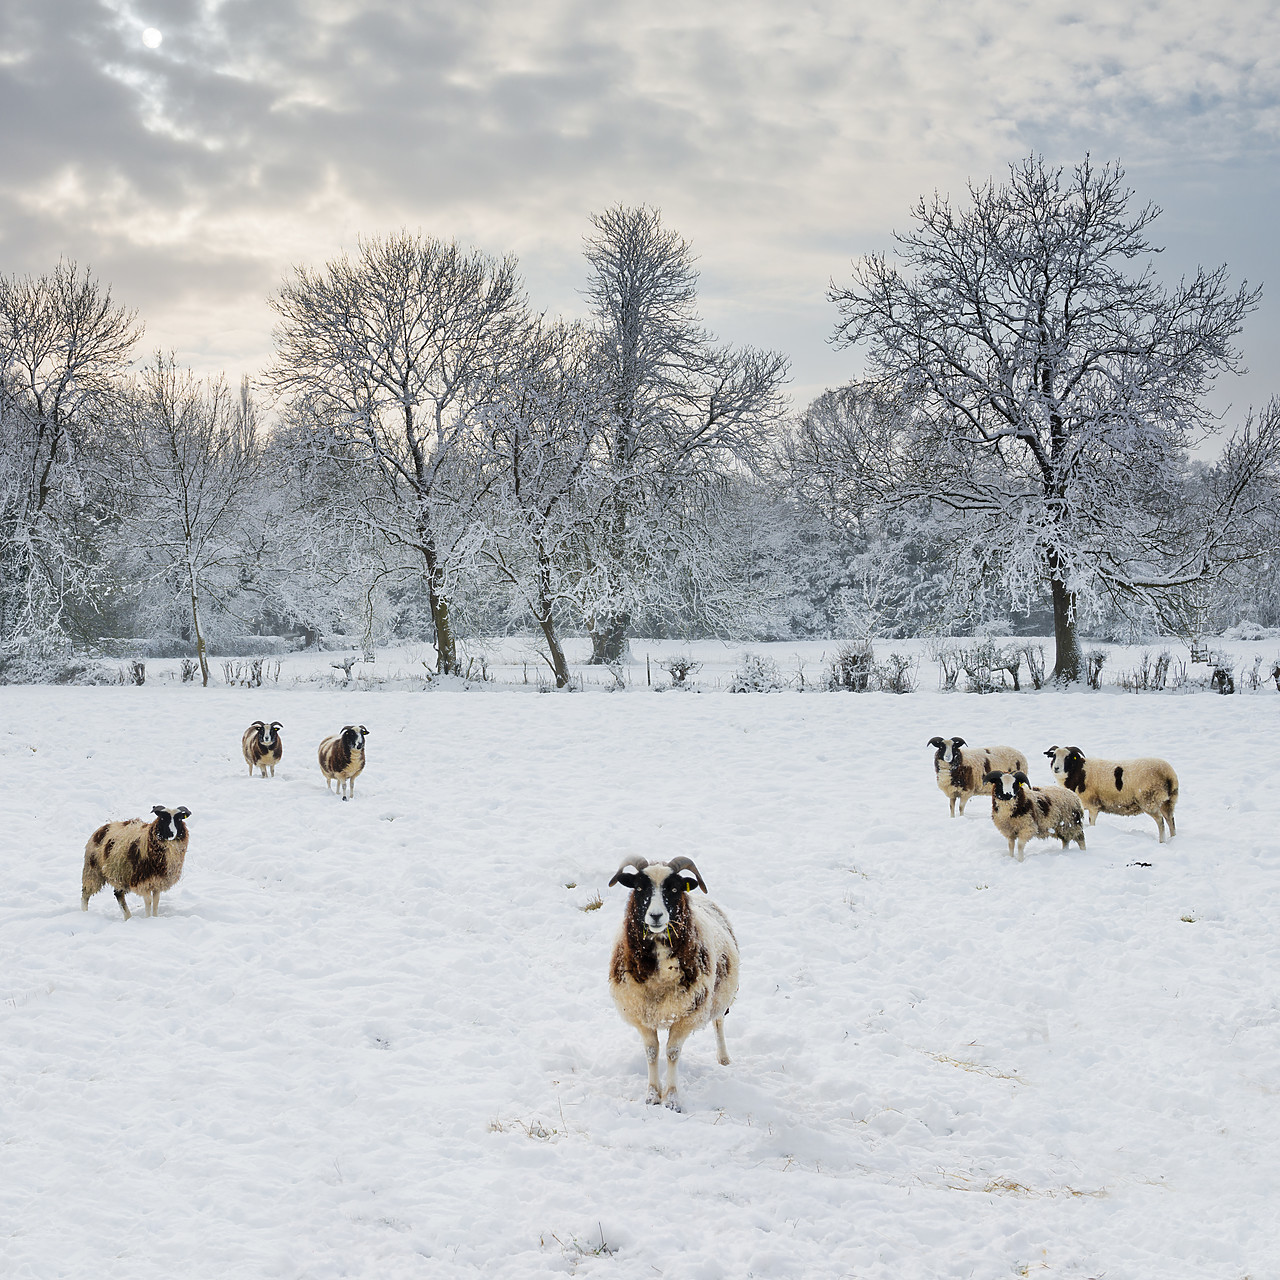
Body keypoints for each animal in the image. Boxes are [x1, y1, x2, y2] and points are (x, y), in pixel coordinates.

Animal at [609, 860, 742, 1111]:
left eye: (673, 889)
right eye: (639, 888)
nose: (656, 915)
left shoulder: (686, 1014)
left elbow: (672, 1052)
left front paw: (671, 1099)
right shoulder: (642, 1014)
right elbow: (652, 1052)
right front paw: (652, 1095)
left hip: (719, 997)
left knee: (719, 1022)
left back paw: (724, 1059)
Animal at [1039, 747, 1177, 844]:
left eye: (1067, 757)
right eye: (1054, 756)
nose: (1056, 768)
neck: (1079, 772)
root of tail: (1168, 774)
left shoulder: (1093, 805)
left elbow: (1091, 822)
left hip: (1149, 800)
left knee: (1160, 821)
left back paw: (1162, 841)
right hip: (1168, 801)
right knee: (1170, 819)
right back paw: (1173, 838)